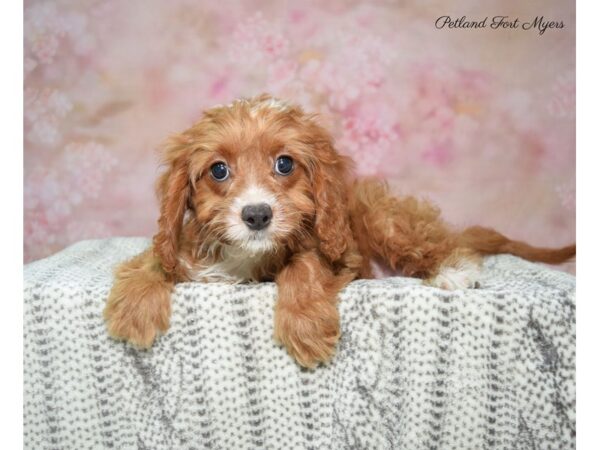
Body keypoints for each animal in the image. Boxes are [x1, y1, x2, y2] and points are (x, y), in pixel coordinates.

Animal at [104, 93, 576, 368]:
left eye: (285, 164)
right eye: (218, 170)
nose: (256, 215)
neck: (246, 254)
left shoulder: (336, 252)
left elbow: (304, 265)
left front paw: (306, 325)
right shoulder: (182, 245)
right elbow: (154, 257)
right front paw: (135, 307)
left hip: (383, 219)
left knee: (439, 243)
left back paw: (452, 270)